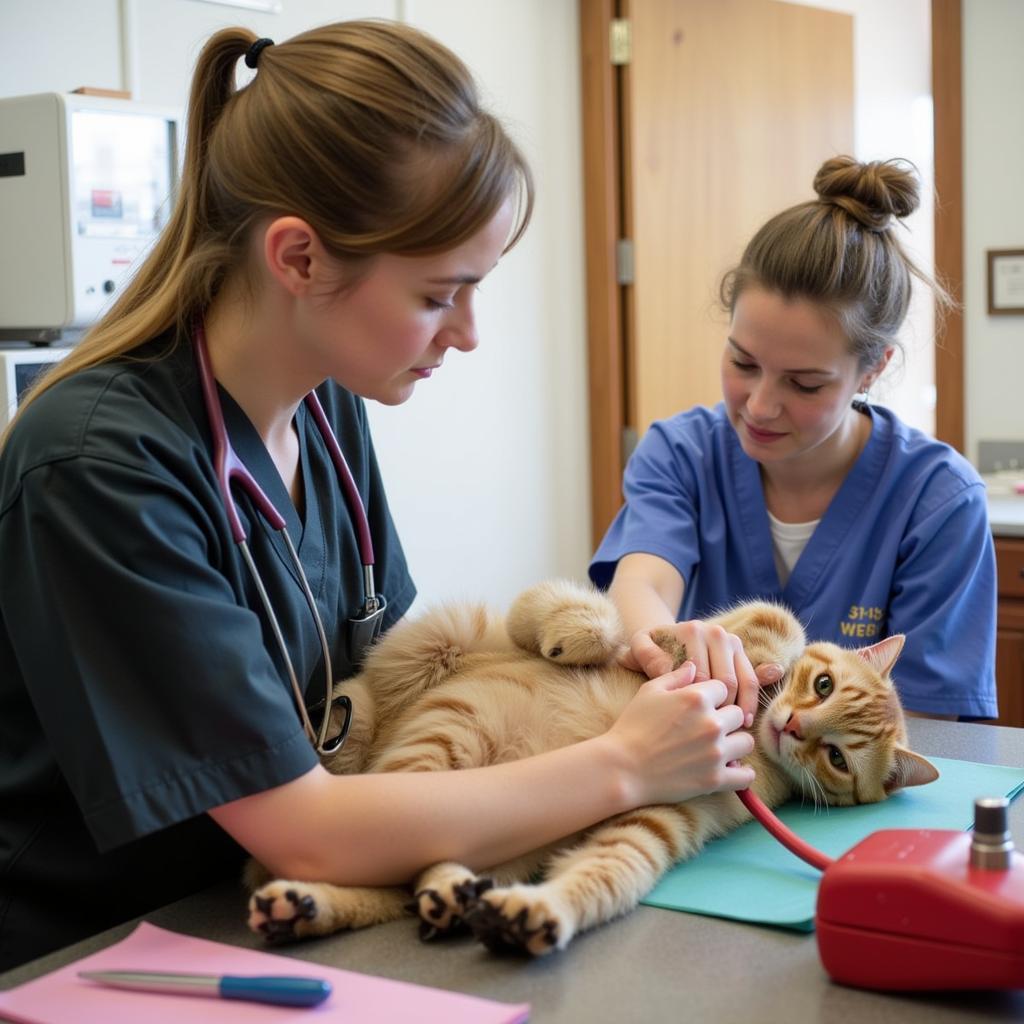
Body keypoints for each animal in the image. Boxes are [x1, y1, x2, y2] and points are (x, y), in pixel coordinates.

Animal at [245, 581, 937, 954]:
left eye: (838, 757)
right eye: (822, 685)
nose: (793, 728)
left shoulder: (656, 819)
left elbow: (605, 872)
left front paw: (544, 913)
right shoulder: (673, 638)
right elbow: (766, 621)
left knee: (389, 871)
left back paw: (343, 902)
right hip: (437, 676)